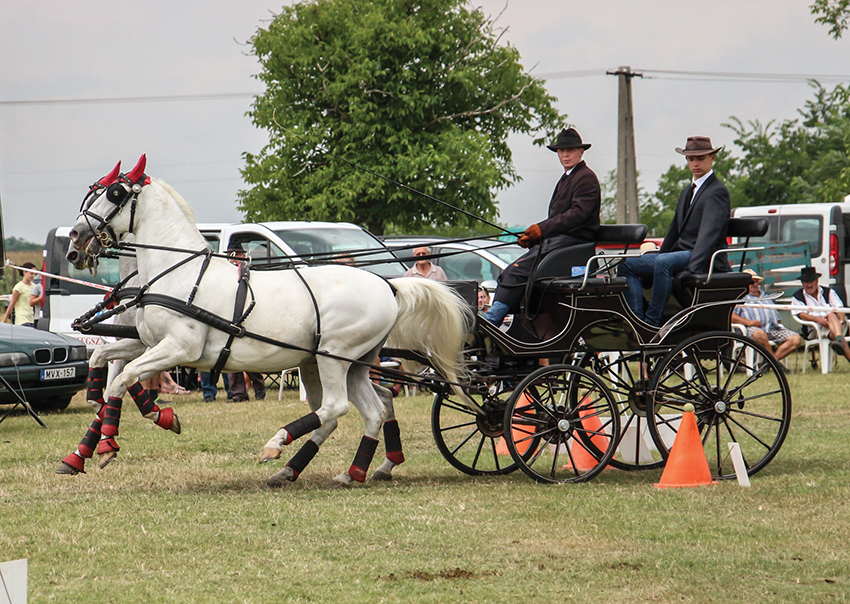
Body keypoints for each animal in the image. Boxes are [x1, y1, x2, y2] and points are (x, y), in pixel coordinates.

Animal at [68, 156, 470, 486]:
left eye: (114, 194)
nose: (76, 240)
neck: (177, 271)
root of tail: (388, 284)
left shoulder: (180, 347)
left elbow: (126, 378)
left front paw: (120, 438)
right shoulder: (147, 341)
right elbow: (105, 364)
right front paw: (91, 442)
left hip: (333, 357)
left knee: (335, 408)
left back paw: (277, 446)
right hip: (349, 362)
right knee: (372, 410)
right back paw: (344, 472)